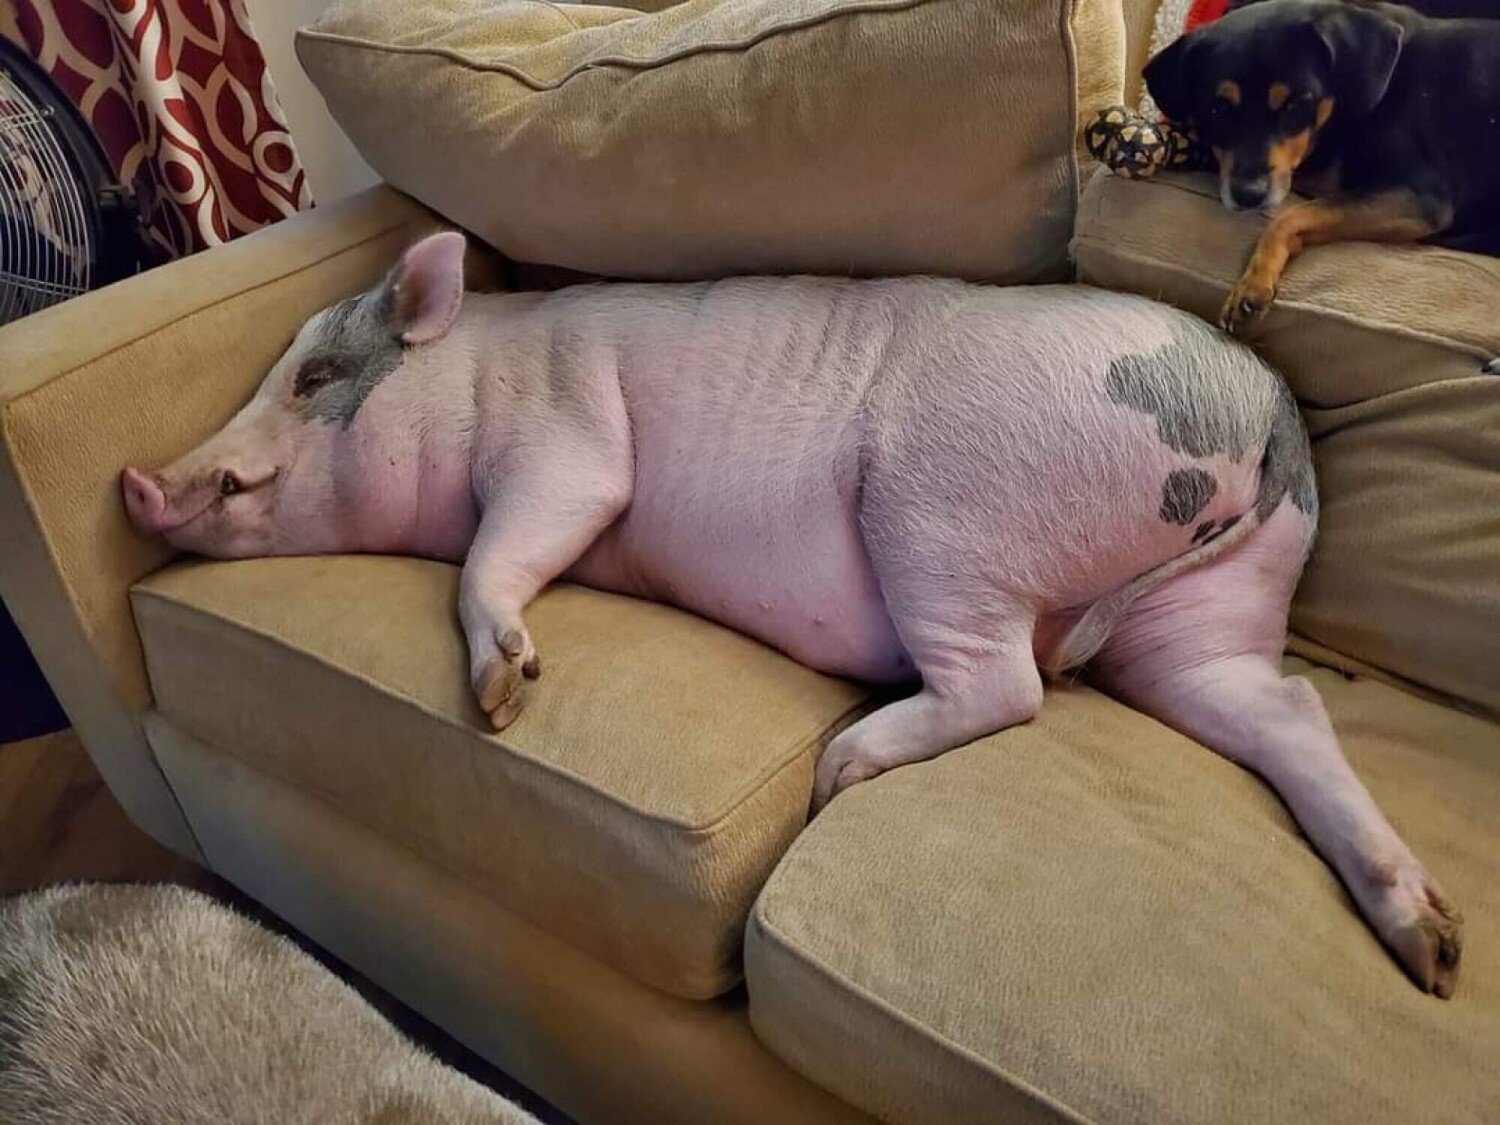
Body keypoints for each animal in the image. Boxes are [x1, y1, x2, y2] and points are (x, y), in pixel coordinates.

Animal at [122, 232, 1461, 997]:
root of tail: (1266, 413)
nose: (135, 482)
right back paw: (1436, 952)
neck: (478, 376)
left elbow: (507, 551)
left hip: (941, 511)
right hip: (1209, 613)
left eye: (313, 377)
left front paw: (504, 700)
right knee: (1283, 707)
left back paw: (839, 771)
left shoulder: (567, 447)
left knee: (1009, 688)